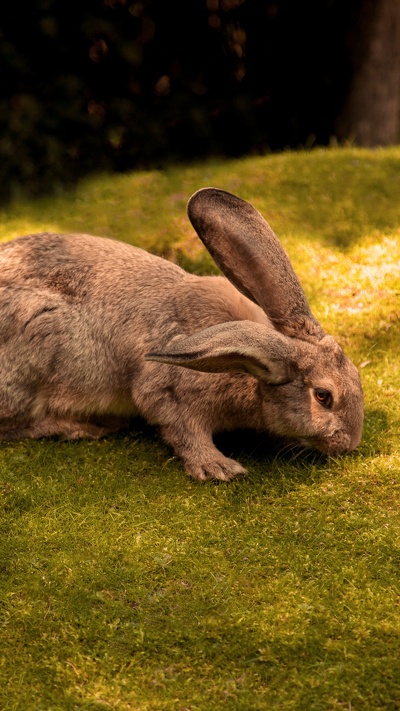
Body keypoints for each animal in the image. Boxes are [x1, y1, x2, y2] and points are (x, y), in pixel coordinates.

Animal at [0, 186, 364, 482]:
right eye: (323, 396)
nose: (350, 443)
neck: (247, 364)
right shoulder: (169, 393)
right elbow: (184, 431)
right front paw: (218, 468)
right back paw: (84, 427)